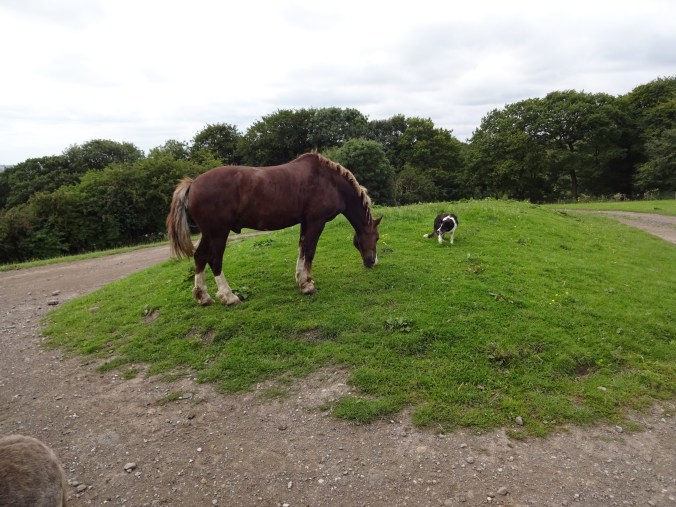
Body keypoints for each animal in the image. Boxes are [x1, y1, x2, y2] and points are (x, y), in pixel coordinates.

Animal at [166, 152, 382, 306]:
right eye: (377, 238)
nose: (372, 262)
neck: (330, 181)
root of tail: (193, 183)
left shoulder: (305, 222)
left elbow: (302, 248)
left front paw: (300, 278)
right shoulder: (316, 221)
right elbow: (310, 251)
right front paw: (307, 284)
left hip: (209, 233)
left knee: (200, 257)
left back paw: (203, 296)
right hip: (219, 233)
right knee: (214, 260)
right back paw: (229, 296)